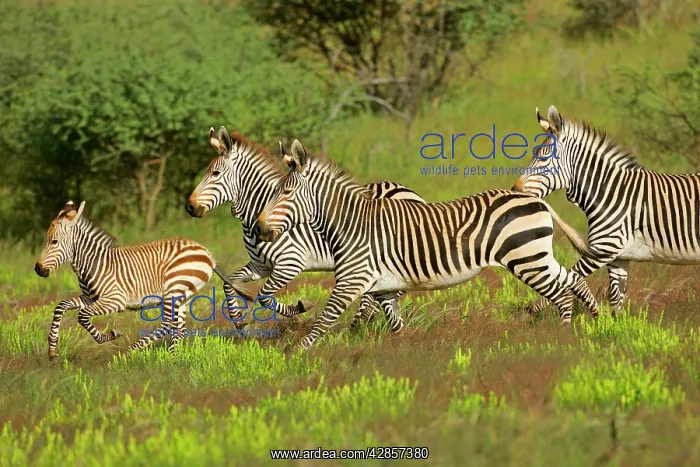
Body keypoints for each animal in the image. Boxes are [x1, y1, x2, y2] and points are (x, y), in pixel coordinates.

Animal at [34, 200, 255, 358]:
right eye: (46, 240)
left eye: (54, 242)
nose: (38, 269)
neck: (95, 262)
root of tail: (205, 251)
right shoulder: (90, 297)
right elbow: (61, 306)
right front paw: (52, 351)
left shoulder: (114, 299)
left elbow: (82, 316)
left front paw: (109, 336)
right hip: (182, 294)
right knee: (178, 328)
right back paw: (174, 357)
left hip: (172, 289)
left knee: (168, 325)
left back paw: (133, 352)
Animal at [185, 127, 427, 327]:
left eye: (215, 174)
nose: (189, 207)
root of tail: (410, 191)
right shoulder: (260, 266)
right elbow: (230, 284)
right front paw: (238, 321)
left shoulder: (290, 264)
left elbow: (264, 296)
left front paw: (299, 308)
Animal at [252, 140, 600, 350]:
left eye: (285, 193)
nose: (258, 228)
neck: (352, 225)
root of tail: (535, 198)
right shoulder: (383, 286)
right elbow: (395, 323)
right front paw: (404, 355)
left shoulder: (351, 280)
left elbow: (324, 320)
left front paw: (295, 354)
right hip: (537, 256)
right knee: (570, 278)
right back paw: (597, 316)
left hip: (527, 261)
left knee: (561, 294)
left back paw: (564, 339)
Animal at [513, 105, 700, 316]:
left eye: (544, 158)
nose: (515, 190)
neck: (612, 193)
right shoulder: (618, 258)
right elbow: (615, 301)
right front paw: (616, 324)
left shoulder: (603, 249)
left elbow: (570, 278)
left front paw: (529, 311)